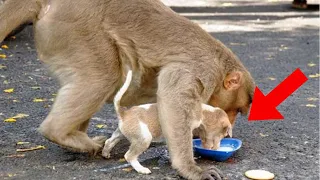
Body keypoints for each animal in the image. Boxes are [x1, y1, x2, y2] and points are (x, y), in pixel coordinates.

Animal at [0, 0, 255, 179]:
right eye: (236, 110)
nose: (231, 127)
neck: (220, 65)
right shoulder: (201, 70)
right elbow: (172, 101)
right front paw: (191, 169)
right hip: (75, 27)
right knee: (103, 77)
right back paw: (64, 134)